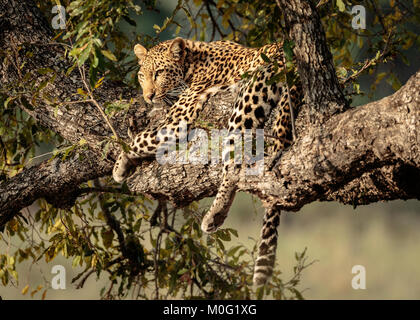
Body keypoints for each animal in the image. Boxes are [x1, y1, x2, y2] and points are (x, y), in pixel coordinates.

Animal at [111, 37, 302, 284]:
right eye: (142, 75)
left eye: (159, 73)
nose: (148, 97)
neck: (192, 62)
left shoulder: (175, 121)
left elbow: (139, 140)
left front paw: (119, 166)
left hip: (248, 99)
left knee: (233, 166)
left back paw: (214, 215)